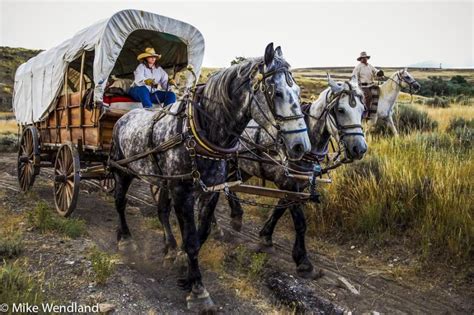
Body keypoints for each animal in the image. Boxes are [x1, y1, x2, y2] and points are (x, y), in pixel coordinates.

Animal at [110, 43, 312, 312]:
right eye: (277, 93)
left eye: (298, 92)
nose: (301, 146)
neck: (199, 132)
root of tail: (123, 118)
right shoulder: (183, 192)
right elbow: (191, 239)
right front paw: (198, 290)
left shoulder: (211, 191)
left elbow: (201, 234)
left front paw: (184, 266)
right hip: (123, 170)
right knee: (120, 202)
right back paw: (126, 240)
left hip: (162, 181)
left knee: (161, 211)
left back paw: (169, 248)